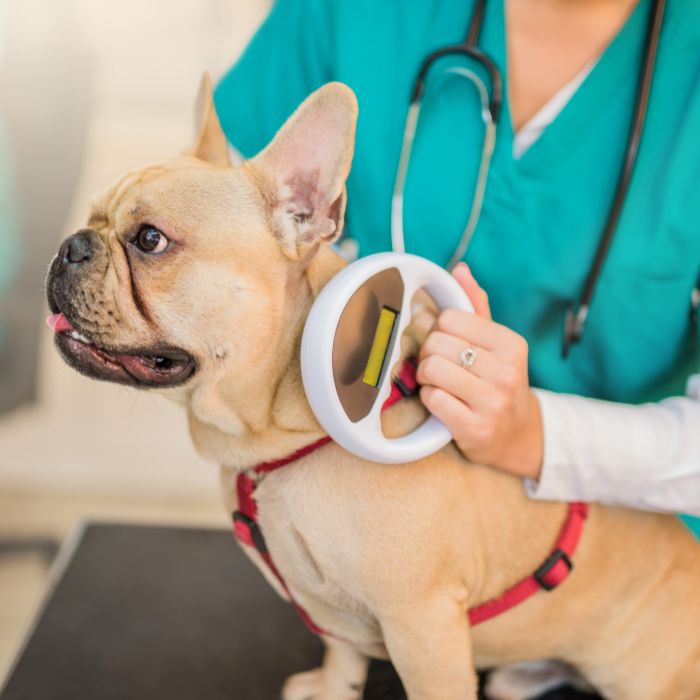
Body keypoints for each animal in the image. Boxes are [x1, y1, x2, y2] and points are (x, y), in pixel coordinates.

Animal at [45, 76, 700, 700]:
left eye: (149, 239)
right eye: (93, 216)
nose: (69, 245)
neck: (277, 439)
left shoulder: (423, 626)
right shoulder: (332, 611)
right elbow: (343, 653)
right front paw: (335, 689)